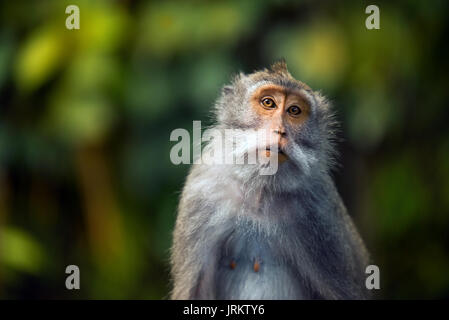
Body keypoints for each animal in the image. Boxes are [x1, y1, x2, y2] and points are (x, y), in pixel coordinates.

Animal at [170, 60, 370, 300]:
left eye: (294, 110)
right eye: (268, 103)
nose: (280, 131)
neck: (260, 191)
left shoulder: (321, 213)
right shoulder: (202, 192)